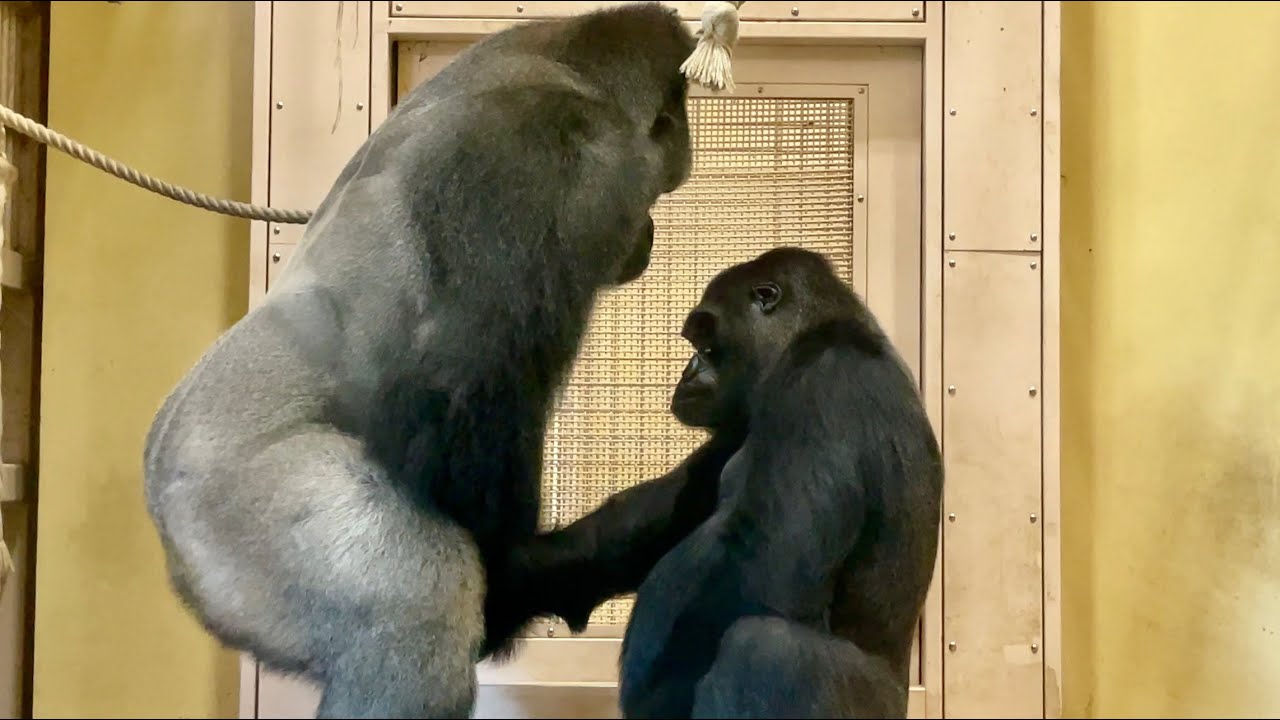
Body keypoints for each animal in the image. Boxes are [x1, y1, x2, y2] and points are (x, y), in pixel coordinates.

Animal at [141, 4, 697, 718]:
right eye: (655, 196)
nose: (649, 237)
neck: (571, 71)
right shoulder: (532, 154)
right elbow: (453, 398)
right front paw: (523, 577)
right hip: (226, 502)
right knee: (418, 600)